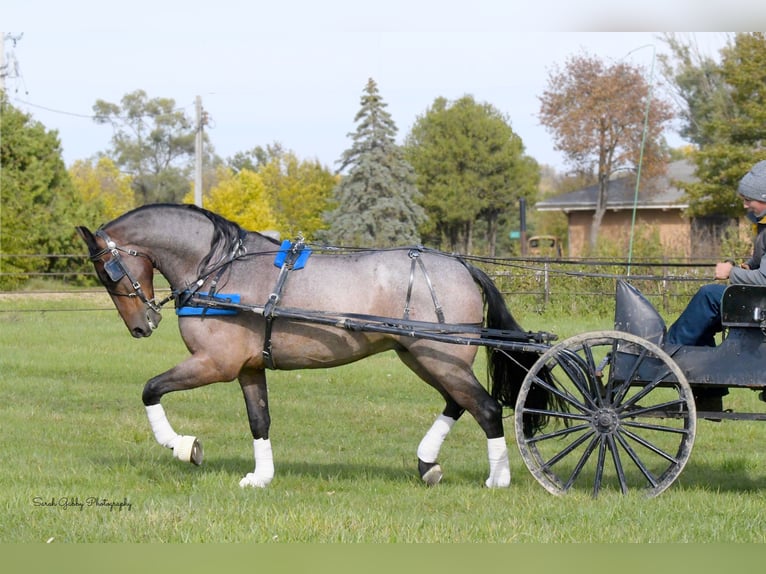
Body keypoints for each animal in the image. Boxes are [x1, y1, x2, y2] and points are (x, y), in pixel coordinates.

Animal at [78, 205, 552, 488]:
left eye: (109, 272)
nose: (141, 326)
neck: (220, 270)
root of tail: (461, 265)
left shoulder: (215, 363)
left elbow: (151, 389)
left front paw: (182, 446)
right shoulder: (248, 368)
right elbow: (259, 420)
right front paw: (261, 476)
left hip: (440, 358)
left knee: (485, 408)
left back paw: (497, 479)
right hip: (422, 356)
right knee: (459, 403)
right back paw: (427, 463)